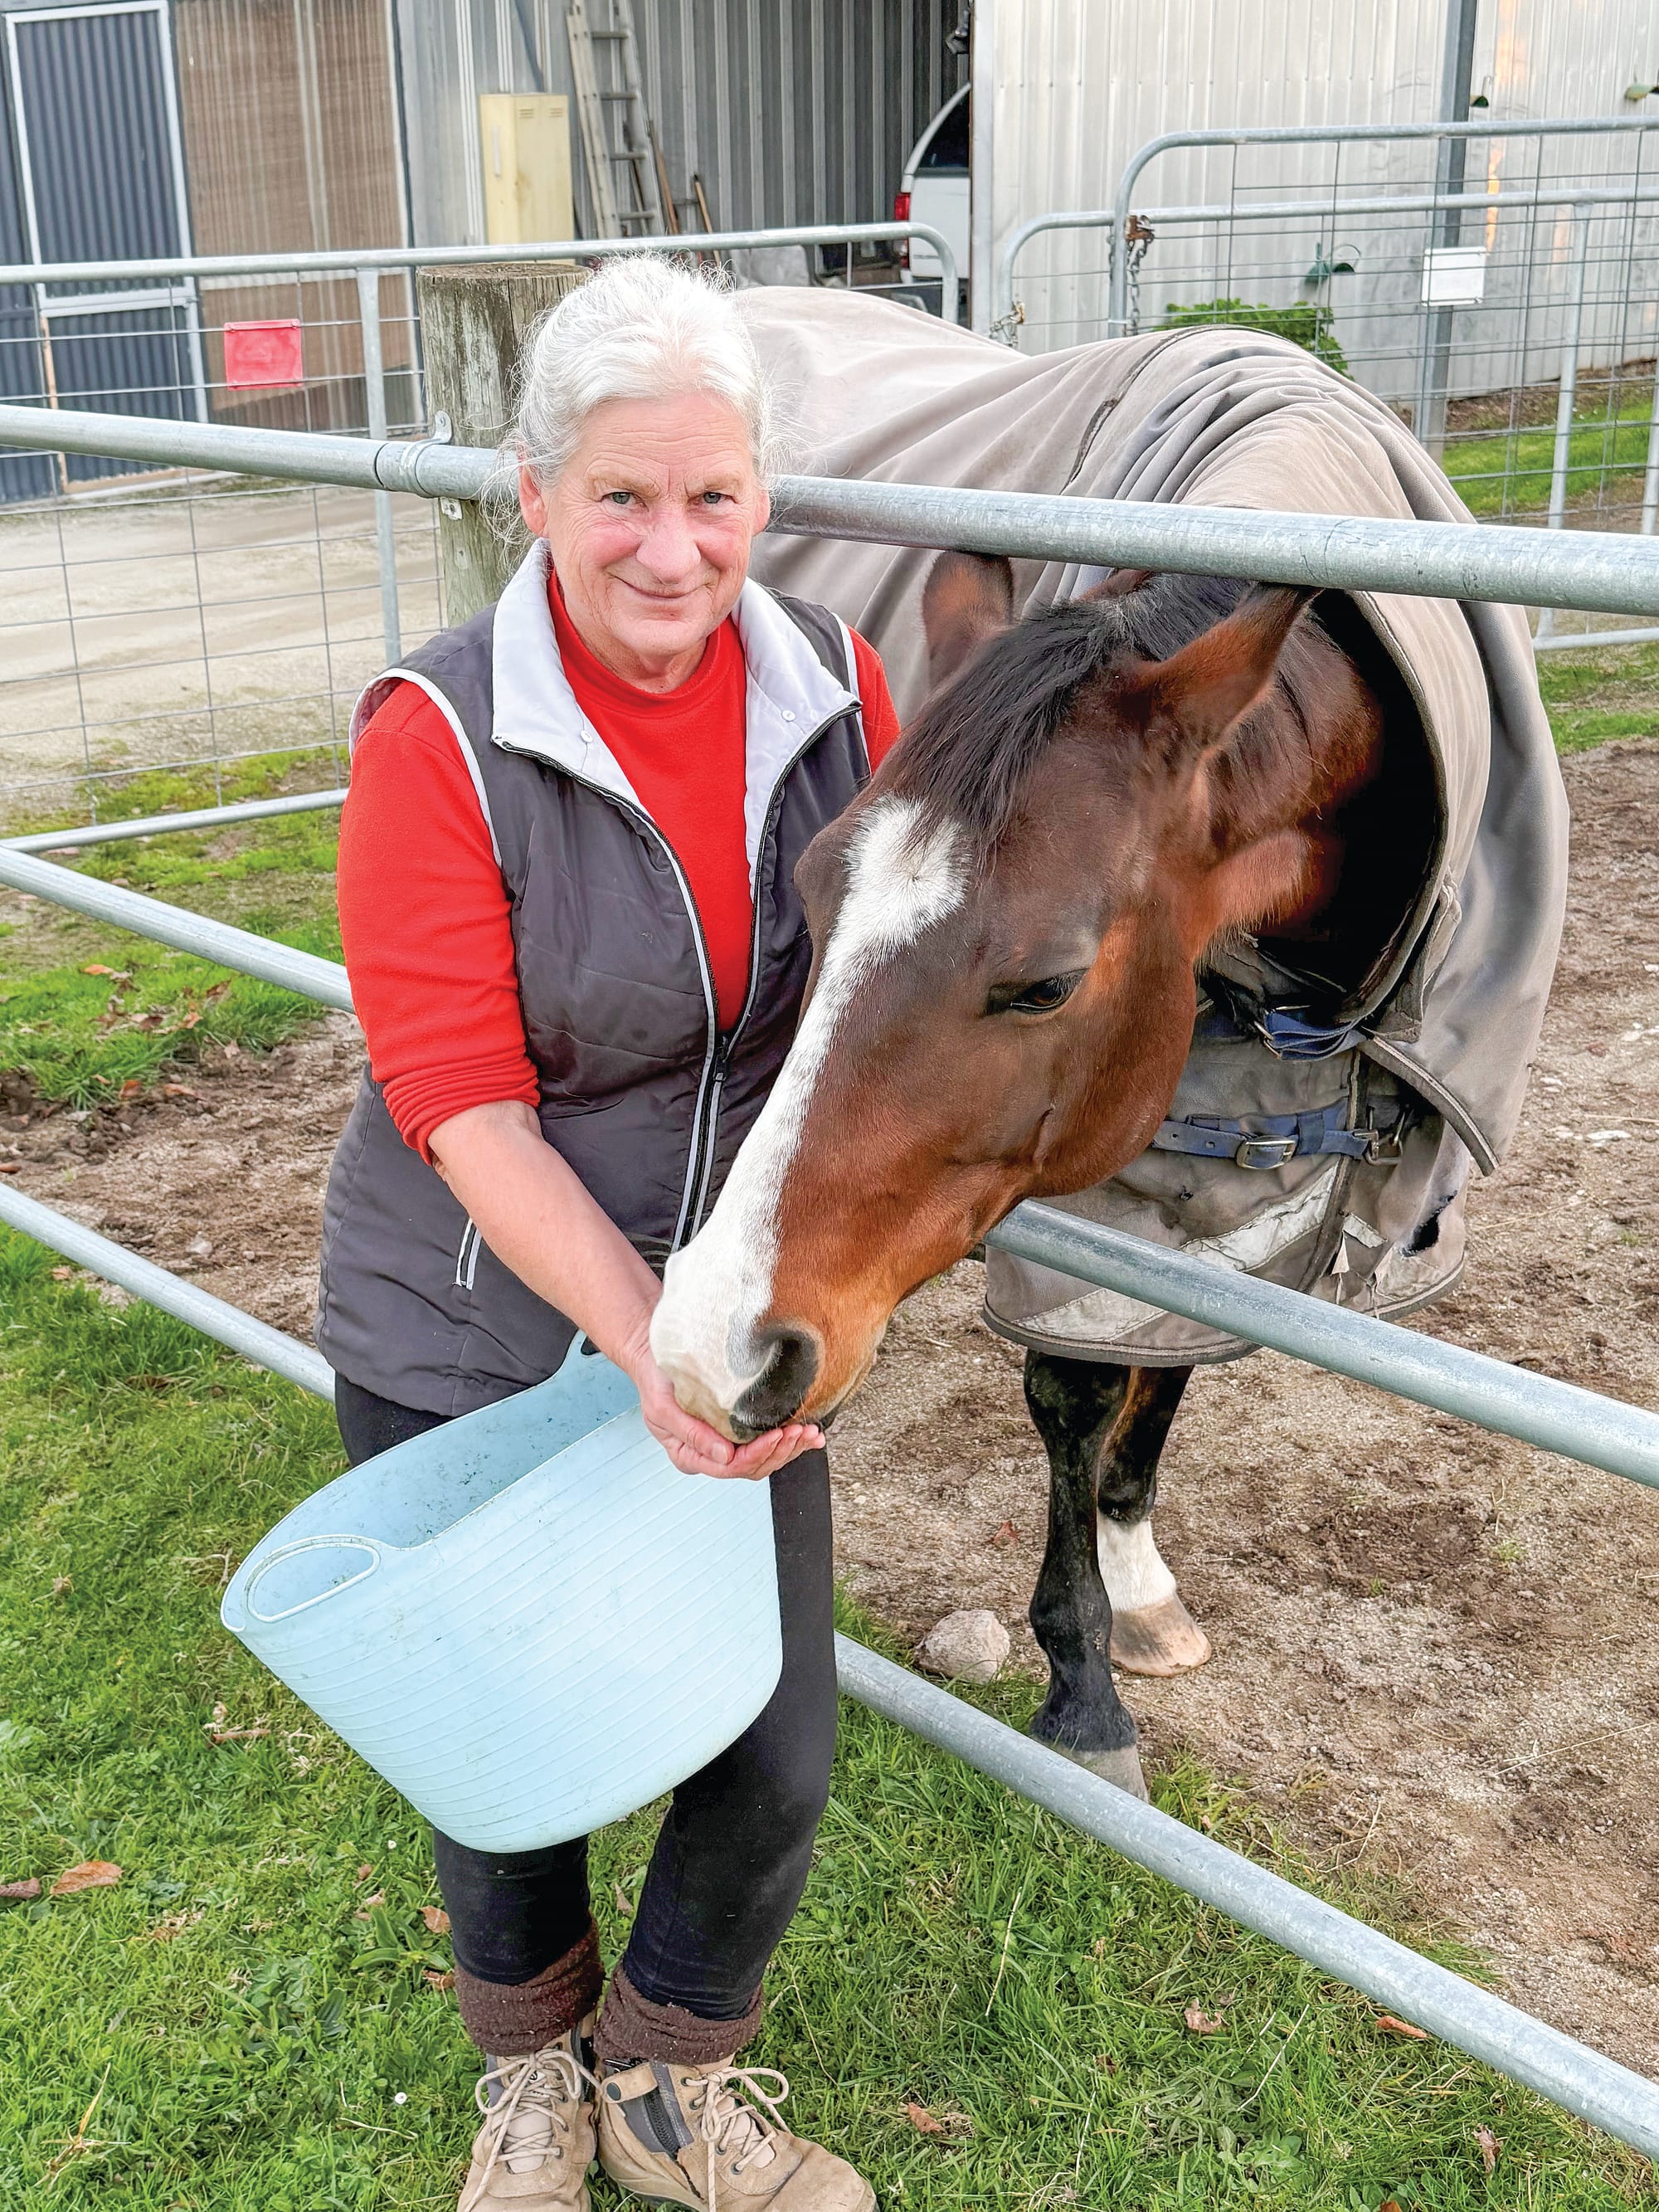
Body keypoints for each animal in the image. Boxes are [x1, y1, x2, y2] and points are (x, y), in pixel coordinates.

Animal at [651, 549, 1442, 1799]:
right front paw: (1084, 1693)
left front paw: (1140, 1590)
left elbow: (1160, 1370)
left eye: (1048, 983)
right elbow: (1075, 1393)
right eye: (813, 894)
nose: (707, 1344)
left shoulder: (1211, 1205)